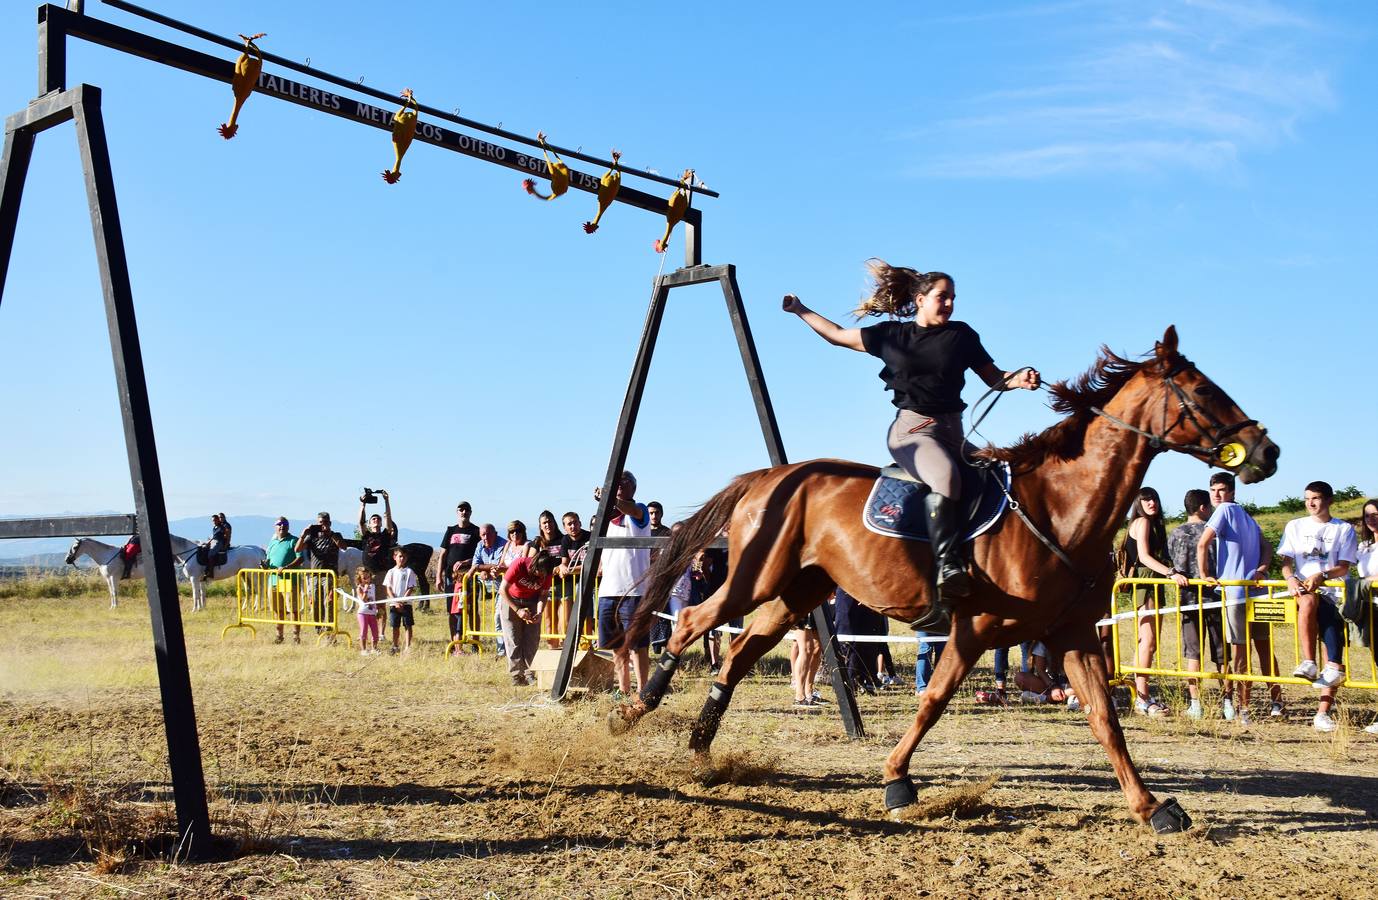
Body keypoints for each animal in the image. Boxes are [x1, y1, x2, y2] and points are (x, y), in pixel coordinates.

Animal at [64, 534, 201, 611]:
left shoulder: (114, 577)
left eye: (75, 547)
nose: (67, 559)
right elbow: (111, 593)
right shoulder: (108, 579)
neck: (106, 556)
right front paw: (112, 606)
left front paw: (115, 607)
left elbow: (114, 592)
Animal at [614, 326, 1278, 832]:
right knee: (692, 622)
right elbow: (932, 700)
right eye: (1202, 389)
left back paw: (700, 744)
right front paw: (896, 783)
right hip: (755, 578)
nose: (1265, 450)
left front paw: (1151, 808)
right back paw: (637, 709)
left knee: (738, 653)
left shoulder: (1072, 635)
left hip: (796, 593)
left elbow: (1104, 720)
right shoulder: (972, 628)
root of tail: (770, 477)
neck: (1059, 509)